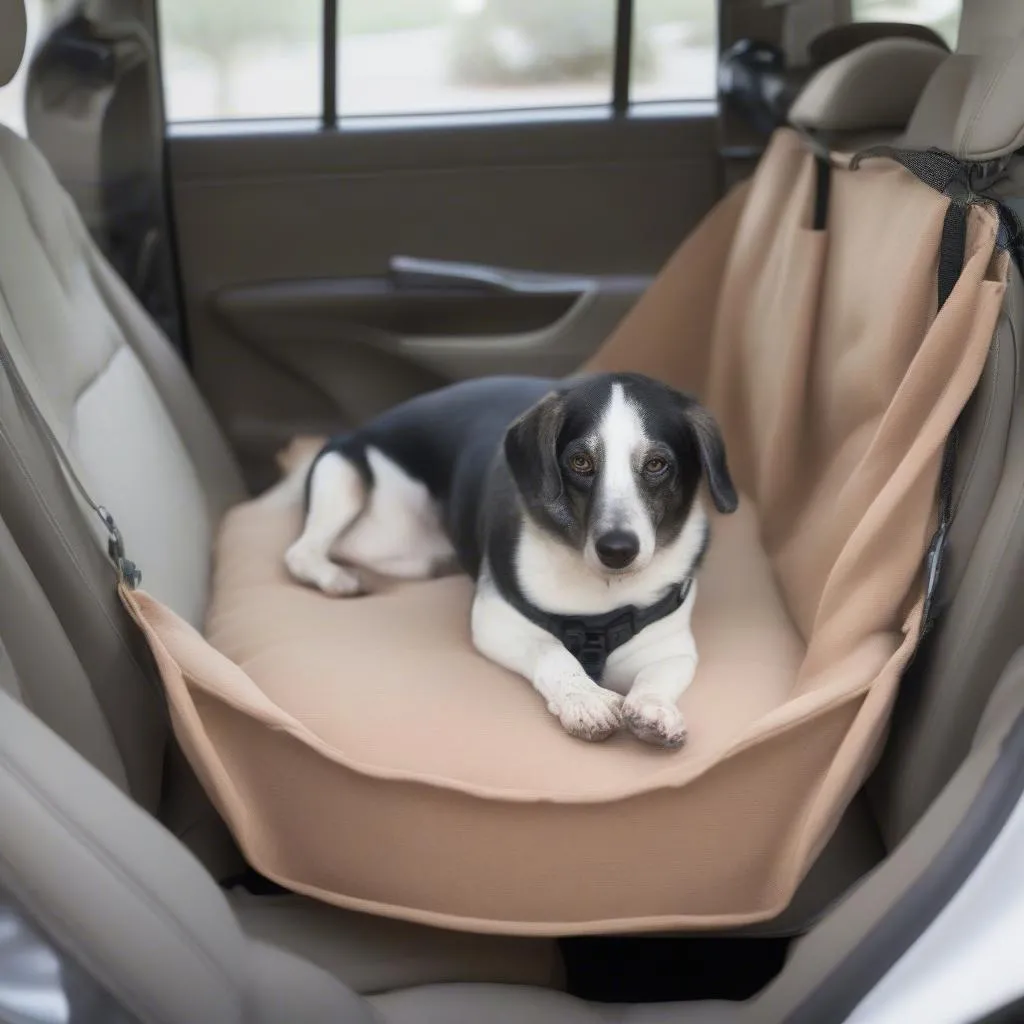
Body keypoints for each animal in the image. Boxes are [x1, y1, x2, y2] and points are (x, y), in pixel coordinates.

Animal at [286, 374, 737, 745]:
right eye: (581, 462)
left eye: (657, 464)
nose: (617, 549)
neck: (602, 594)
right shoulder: (496, 618)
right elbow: (552, 651)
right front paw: (584, 699)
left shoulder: (673, 647)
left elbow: (655, 676)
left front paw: (653, 708)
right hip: (345, 476)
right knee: (302, 551)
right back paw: (336, 578)